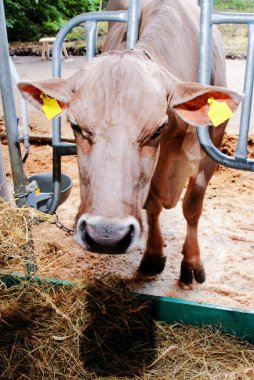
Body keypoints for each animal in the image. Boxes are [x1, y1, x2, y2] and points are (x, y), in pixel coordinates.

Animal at [18, 0, 241, 284]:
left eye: (158, 129)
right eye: (75, 125)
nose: (106, 236)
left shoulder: (209, 156)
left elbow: (192, 207)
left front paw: (192, 262)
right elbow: (153, 206)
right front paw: (153, 255)